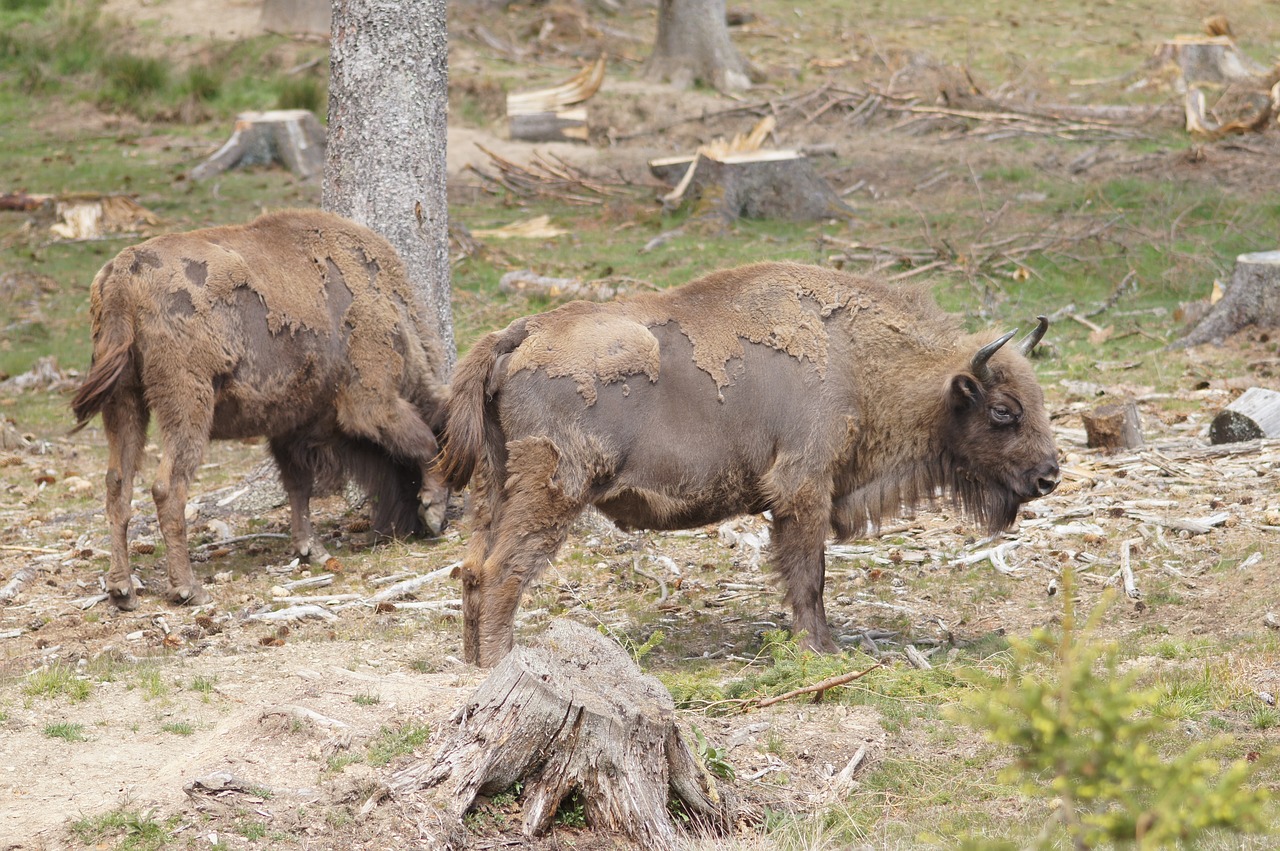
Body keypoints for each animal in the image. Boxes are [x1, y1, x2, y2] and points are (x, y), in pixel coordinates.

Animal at [71, 211, 450, 611]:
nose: (405, 531)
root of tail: (123, 275)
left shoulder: (289, 429)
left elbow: (298, 487)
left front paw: (310, 549)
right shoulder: (372, 403)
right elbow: (424, 442)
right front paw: (433, 510)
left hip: (123, 401)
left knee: (118, 484)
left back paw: (122, 590)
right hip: (187, 403)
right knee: (168, 486)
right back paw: (189, 589)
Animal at [440, 258, 1059, 665]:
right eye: (1003, 410)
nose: (1049, 476)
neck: (856, 359)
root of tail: (520, 332)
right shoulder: (803, 488)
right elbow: (809, 575)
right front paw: (822, 648)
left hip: (495, 484)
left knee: (471, 567)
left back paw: (473, 661)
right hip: (554, 488)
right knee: (503, 571)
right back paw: (500, 662)